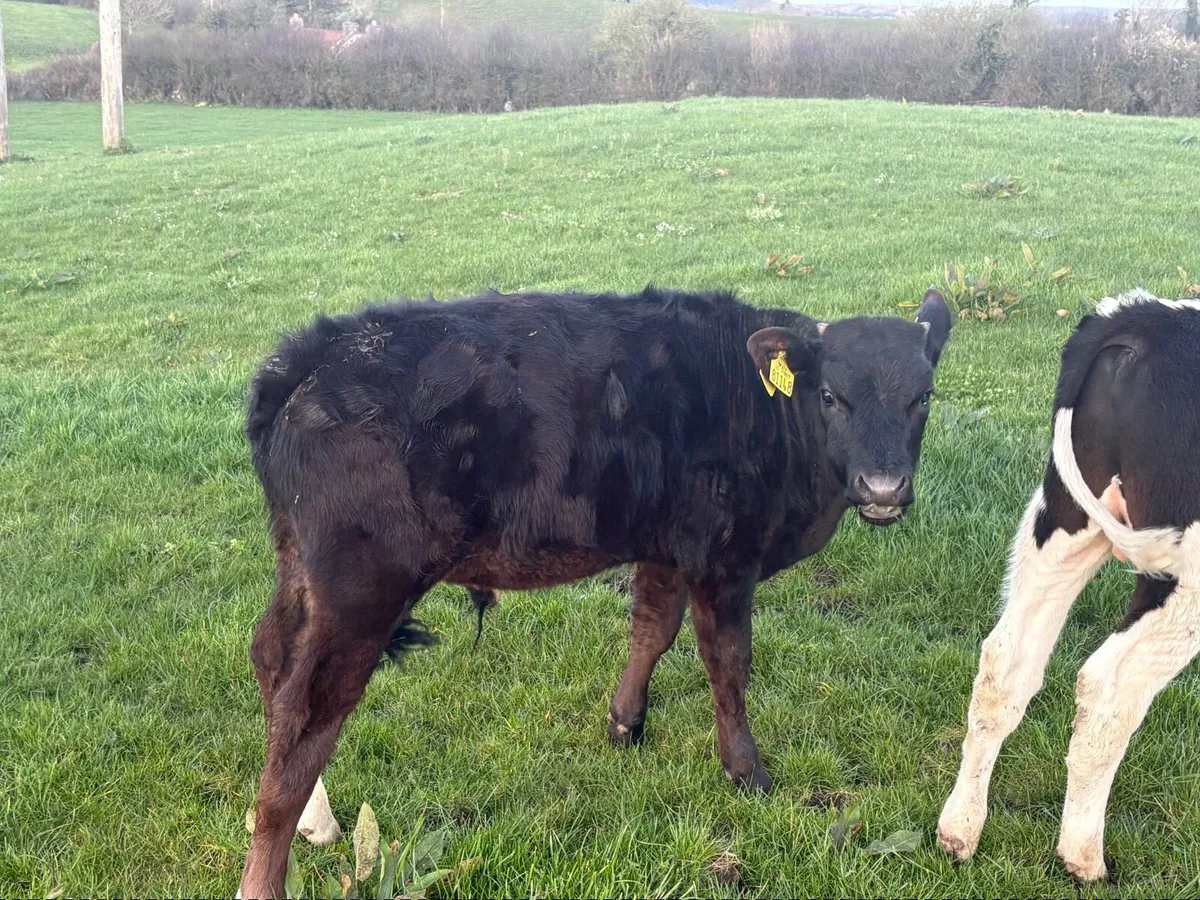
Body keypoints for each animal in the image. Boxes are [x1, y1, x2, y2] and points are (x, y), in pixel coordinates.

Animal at [238, 285, 952, 898]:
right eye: (831, 395)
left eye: (924, 396)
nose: (883, 487)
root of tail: (311, 355)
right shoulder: (723, 557)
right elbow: (728, 662)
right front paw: (746, 771)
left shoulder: (666, 545)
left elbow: (652, 629)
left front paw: (625, 723)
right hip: (359, 590)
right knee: (304, 718)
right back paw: (266, 873)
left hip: (302, 566)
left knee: (270, 659)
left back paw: (317, 821)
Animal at [938, 289, 1200, 882]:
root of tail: (1144, 316)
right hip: (1184, 570)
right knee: (1110, 686)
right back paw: (1084, 857)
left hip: (1065, 518)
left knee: (1006, 660)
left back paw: (959, 830)